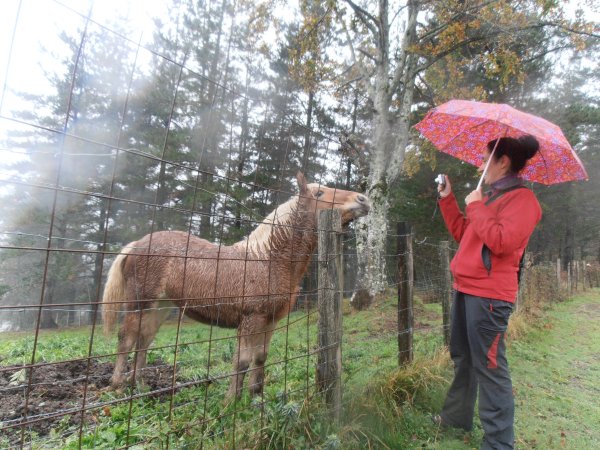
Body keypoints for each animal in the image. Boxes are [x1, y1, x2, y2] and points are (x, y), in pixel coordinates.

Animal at [101, 172, 368, 398]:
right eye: (320, 193)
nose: (363, 199)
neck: (268, 259)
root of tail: (137, 244)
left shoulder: (269, 322)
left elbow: (260, 357)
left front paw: (256, 397)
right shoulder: (250, 321)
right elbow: (242, 360)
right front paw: (232, 401)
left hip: (160, 307)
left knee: (143, 340)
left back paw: (139, 386)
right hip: (140, 304)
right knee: (126, 338)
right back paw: (118, 385)